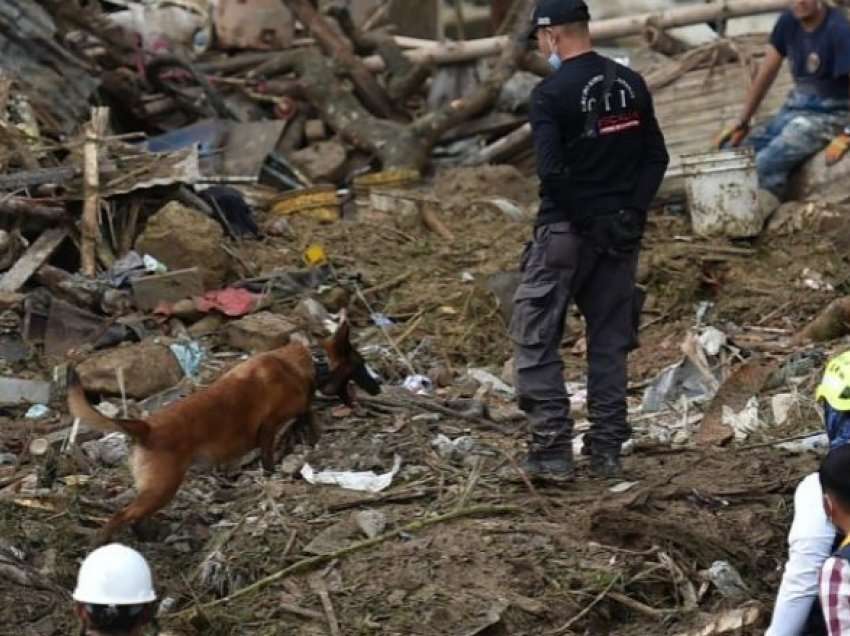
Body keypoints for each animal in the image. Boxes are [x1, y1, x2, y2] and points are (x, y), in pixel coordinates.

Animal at [68, 318, 380, 540]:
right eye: (362, 364)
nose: (379, 387)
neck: (311, 362)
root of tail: (145, 427)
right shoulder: (268, 429)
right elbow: (272, 456)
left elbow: (308, 417)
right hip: (162, 488)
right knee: (120, 516)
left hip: (154, 491)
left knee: (133, 516)